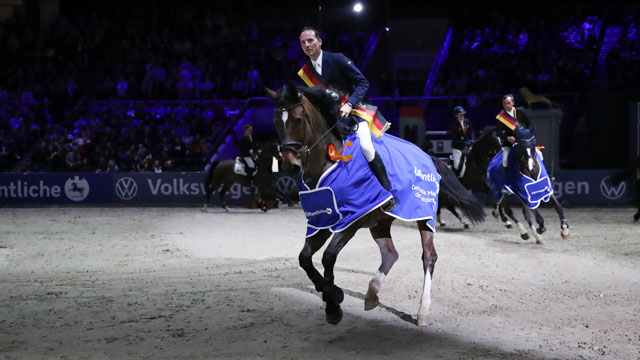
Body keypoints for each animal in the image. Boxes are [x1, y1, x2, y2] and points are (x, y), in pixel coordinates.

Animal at [264, 84, 480, 326]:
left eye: (299, 119)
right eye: (275, 121)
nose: (289, 165)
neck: (328, 162)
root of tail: (428, 156)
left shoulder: (351, 221)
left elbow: (328, 257)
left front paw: (333, 304)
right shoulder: (321, 221)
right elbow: (305, 259)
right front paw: (330, 294)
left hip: (423, 215)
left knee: (428, 257)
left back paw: (422, 311)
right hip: (380, 221)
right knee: (390, 254)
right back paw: (372, 294)